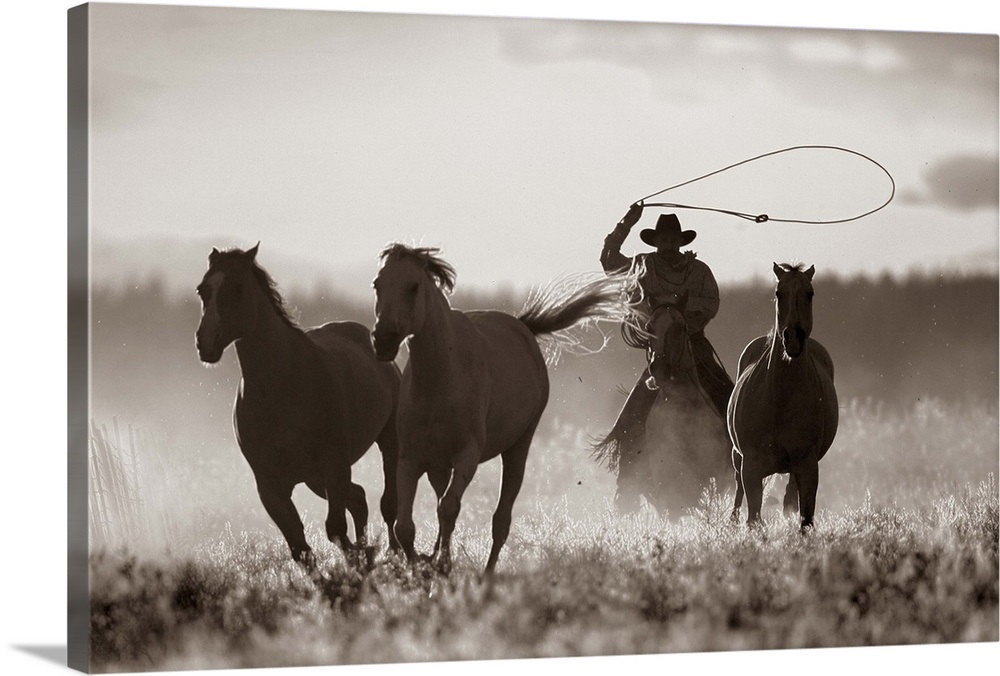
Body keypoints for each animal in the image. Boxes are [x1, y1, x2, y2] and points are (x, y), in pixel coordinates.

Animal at [193, 243, 400, 564]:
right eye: (203, 289)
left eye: (238, 287)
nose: (205, 342)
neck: (281, 387)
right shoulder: (270, 485)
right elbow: (299, 546)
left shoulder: (334, 465)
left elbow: (335, 530)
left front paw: (359, 559)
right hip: (316, 479)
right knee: (358, 498)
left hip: (384, 441)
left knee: (388, 503)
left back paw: (394, 553)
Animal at [372, 246, 628, 572]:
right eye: (377, 284)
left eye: (413, 286)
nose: (383, 339)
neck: (441, 378)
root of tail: (523, 327)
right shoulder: (410, 458)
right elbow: (405, 526)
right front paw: (422, 565)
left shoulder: (467, 456)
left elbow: (449, 508)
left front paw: (442, 565)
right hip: (438, 465)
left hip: (518, 448)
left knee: (500, 520)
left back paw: (487, 574)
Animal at [728, 262, 836, 532]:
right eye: (779, 293)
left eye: (810, 293)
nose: (793, 338)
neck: (780, 400)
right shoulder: (751, 466)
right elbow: (753, 516)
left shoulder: (807, 465)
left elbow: (805, 518)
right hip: (737, 458)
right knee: (738, 491)